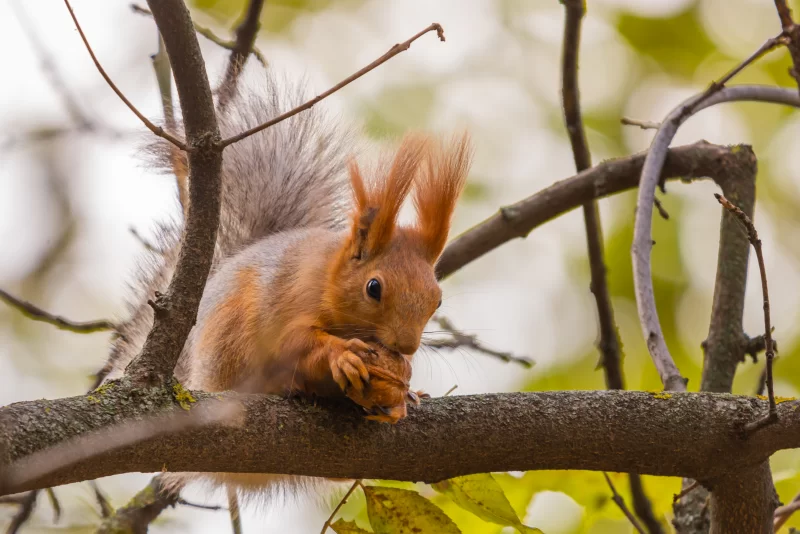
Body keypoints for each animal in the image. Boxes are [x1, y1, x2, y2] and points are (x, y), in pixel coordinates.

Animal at [103, 75, 472, 494]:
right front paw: (342, 356)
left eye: (437, 300)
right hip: (233, 340)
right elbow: (294, 343)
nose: (407, 346)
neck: (328, 276)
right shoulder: (292, 298)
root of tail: (197, 378)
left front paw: (405, 387)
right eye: (374, 288)